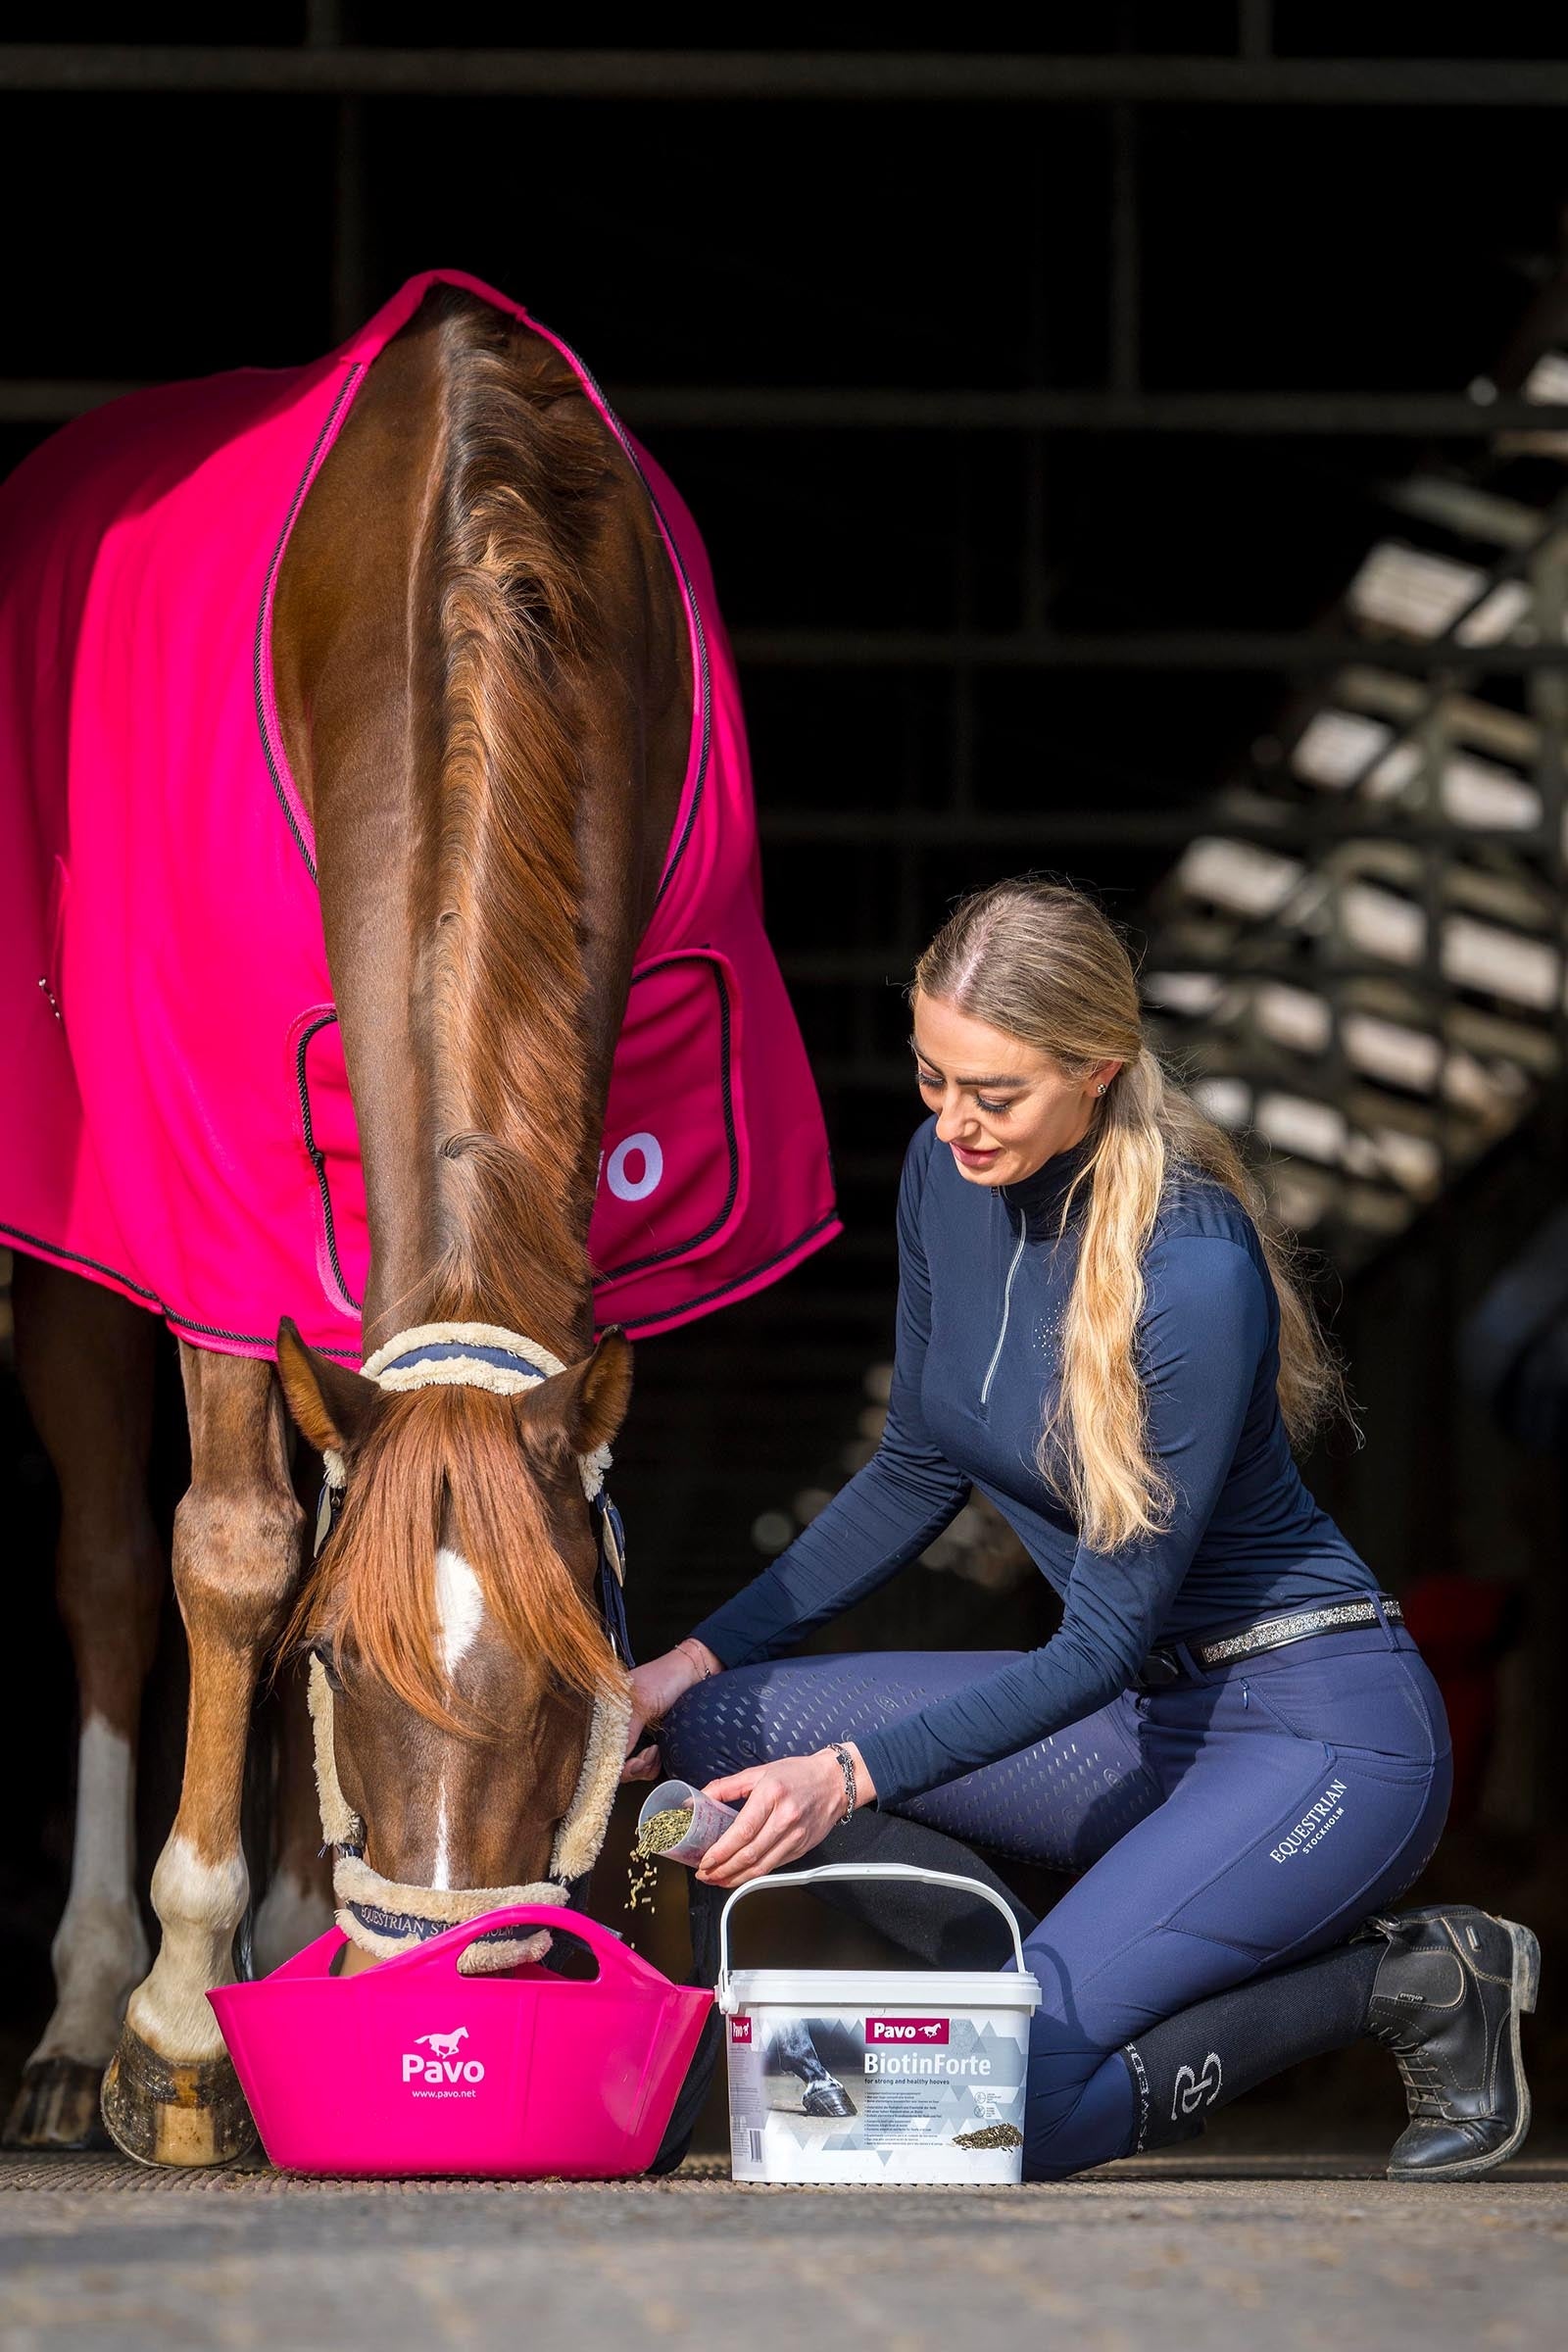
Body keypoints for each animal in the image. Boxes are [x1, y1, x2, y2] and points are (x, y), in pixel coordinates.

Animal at [0, 271, 837, 2162]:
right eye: (345, 1668)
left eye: (575, 1677)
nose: (447, 1987)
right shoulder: (216, 1206)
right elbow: (236, 1556)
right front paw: (182, 2026)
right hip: (74, 1237)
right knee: (110, 1575)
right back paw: (85, 2020)